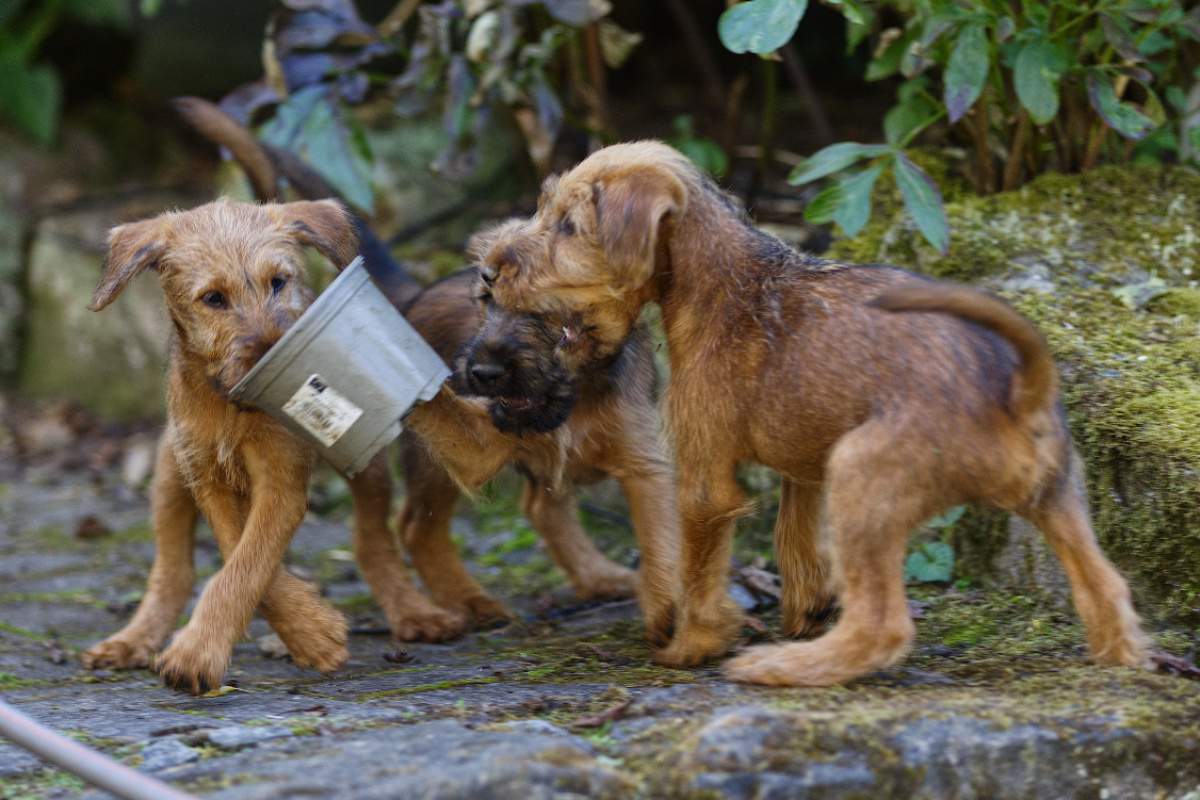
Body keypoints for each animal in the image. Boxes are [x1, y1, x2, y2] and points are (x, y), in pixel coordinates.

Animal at [81, 200, 463, 695]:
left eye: (278, 282)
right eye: (213, 299)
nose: (270, 350)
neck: (229, 406)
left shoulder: (280, 479)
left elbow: (247, 563)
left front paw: (205, 651)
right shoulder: (209, 479)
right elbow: (238, 557)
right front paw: (308, 629)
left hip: (368, 464)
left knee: (372, 537)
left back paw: (413, 611)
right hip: (168, 474)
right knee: (173, 570)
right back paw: (131, 640)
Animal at [472, 142, 1147, 690]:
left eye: (568, 226)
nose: (487, 268)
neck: (724, 281)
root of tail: (1016, 389)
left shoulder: (705, 484)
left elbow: (697, 575)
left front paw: (693, 645)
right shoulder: (805, 466)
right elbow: (795, 543)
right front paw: (803, 612)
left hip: (863, 472)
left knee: (883, 625)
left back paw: (782, 668)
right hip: (1058, 499)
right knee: (1106, 588)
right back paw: (1119, 656)